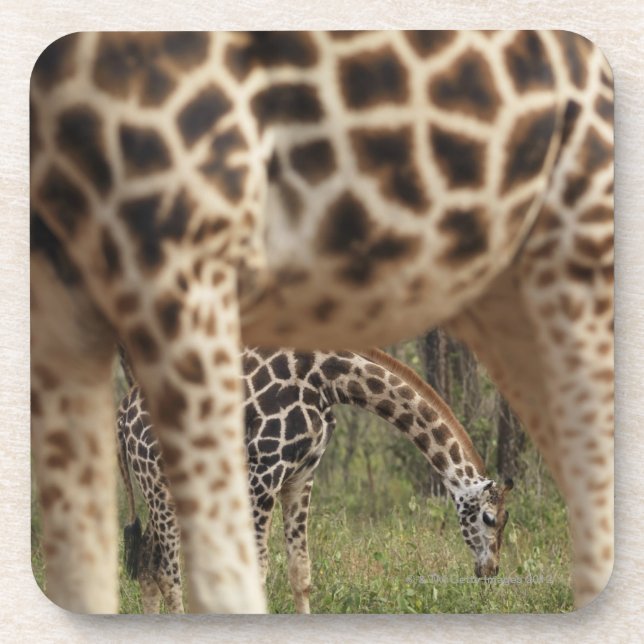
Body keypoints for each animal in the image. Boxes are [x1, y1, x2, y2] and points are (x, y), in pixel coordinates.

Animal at [117, 346, 513, 614]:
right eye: (489, 518)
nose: (491, 569)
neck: (329, 380)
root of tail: (123, 413)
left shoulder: (300, 476)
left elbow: (300, 570)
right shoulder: (265, 472)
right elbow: (259, 569)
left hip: (160, 486)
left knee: (148, 564)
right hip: (160, 486)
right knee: (166, 572)